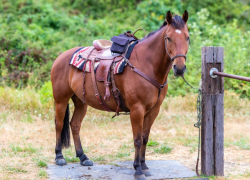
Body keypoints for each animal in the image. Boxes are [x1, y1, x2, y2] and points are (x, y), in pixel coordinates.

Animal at [50, 10, 189, 179]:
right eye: (168, 38)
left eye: (187, 37)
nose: (179, 68)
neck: (146, 64)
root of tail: (61, 57)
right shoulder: (137, 110)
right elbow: (137, 139)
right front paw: (137, 169)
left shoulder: (153, 110)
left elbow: (145, 138)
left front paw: (144, 166)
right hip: (61, 100)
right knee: (59, 124)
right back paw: (59, 157)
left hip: (81, 101)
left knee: (75, 125)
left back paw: (83, 157)